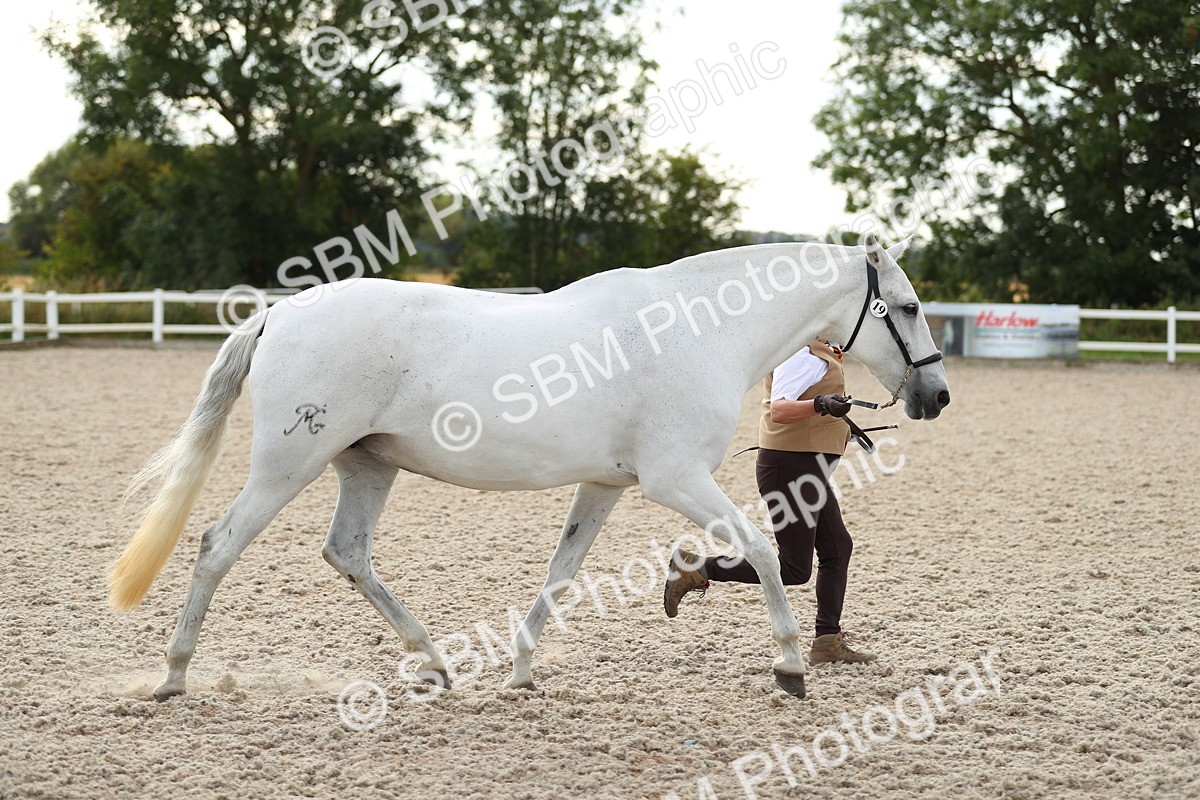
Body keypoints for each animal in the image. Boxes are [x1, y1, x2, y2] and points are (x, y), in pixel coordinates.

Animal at [108, 234, 950, 701]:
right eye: (908, 307)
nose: (936, 395)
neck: (696, 330)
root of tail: (280, 312)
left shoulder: (606, 485)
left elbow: (560, 573)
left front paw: (520, 671)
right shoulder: (677, 480)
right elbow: (765, 553)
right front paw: (789, 667)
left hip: (366, 468)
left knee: (347, 553)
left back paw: (436, 664)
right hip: (290, 462)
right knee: (218, 546)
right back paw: (173, 675)